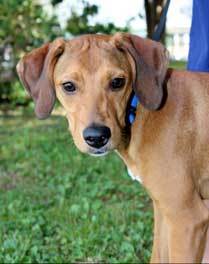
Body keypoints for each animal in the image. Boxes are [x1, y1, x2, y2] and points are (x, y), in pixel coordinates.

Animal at [16, 33, 209, 264]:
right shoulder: (164, 211)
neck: (138, 112)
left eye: (117, 82)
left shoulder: (186, 218)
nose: (97, 137)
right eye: (69, 86)